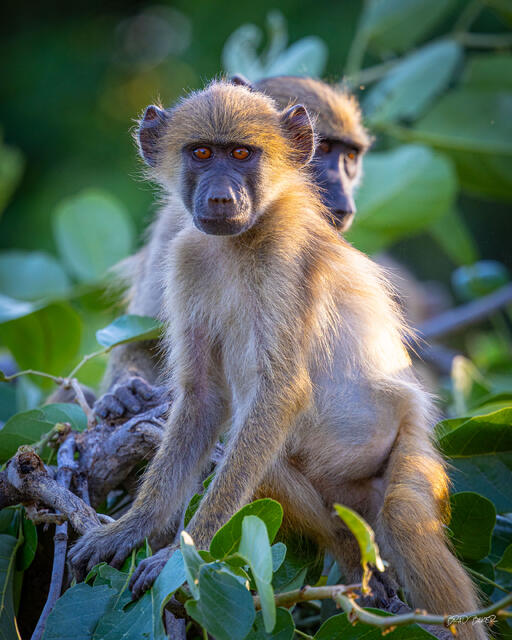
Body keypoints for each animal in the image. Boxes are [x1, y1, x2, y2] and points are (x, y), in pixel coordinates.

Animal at [69, 81, 487, 640]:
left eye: (243, 154)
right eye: (202, 153)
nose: (221, 198)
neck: (237, 243)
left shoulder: (286, 257)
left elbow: (282, 391)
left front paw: (182, 555)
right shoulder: (185, 257)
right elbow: (204, 400)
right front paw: (134, 529)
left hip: (410, 441)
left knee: (403, 515)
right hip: (334, 497)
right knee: (259, 457)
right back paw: (353, 561)